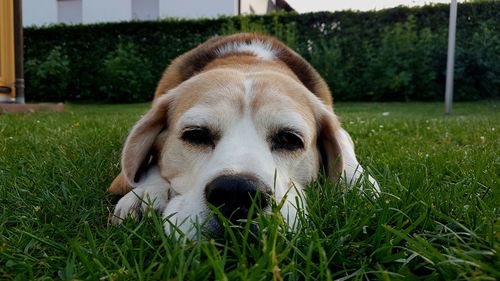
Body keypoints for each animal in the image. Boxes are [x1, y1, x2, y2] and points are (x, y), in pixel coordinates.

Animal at [107, 33, 376, 238]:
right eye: (196, 135)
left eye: (289, 139)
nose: (237, 193)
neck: (247, 61)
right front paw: (146, 193)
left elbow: (346, 152)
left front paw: (357, 182)